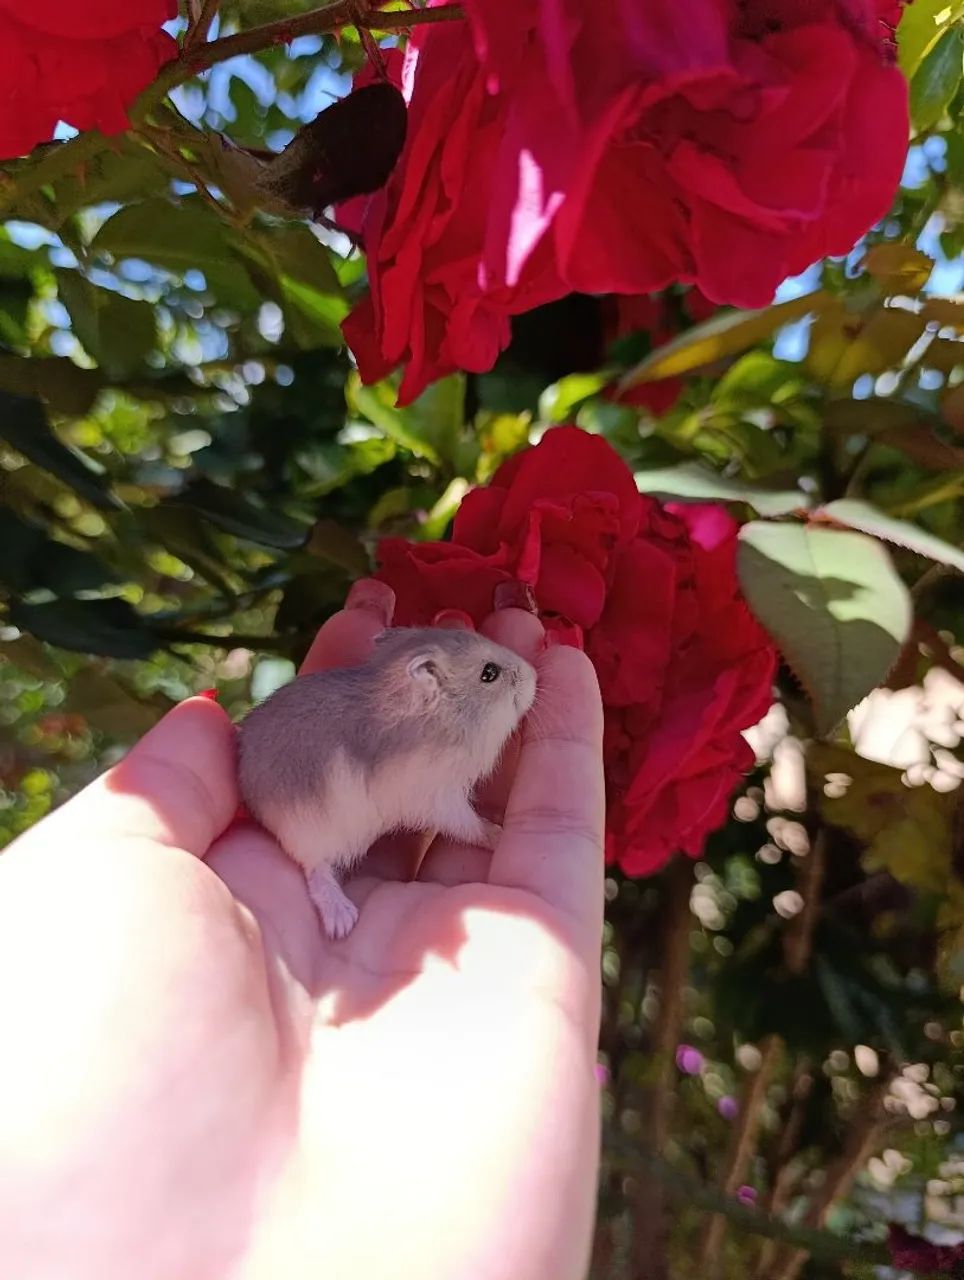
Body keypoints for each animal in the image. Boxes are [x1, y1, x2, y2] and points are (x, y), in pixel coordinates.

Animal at [237, 627, 537, 939]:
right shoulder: (438, 797)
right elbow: (470, 825)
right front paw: (497, 834)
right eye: (489, 673)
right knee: (315, 869)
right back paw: (343, 921)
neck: (442, 719)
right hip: (308, 832)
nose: (535, 674)